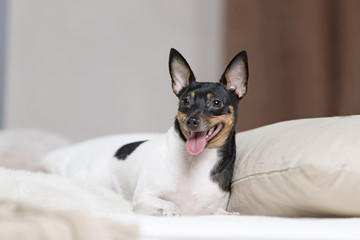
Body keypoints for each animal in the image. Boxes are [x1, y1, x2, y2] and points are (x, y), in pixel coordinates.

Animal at [43, 48, 249, 216]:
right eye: (185, 102)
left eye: (216, 103)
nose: (191, 121)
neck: (196, 161)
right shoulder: (144, 197)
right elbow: (170, 204)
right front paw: (173, 212)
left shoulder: (214, 208)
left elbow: (220, 212)